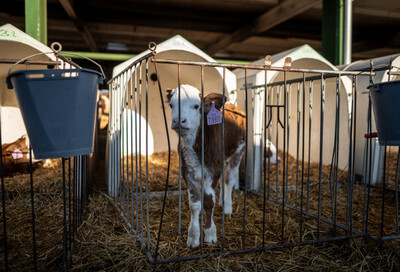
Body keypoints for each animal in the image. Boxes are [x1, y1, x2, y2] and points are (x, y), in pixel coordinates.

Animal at [167, 85, 280, 249]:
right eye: (171, 105)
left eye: (196, 106)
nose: (178, 120)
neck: (197, 145)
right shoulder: (187, 170)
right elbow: (195, 204)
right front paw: (193, 236)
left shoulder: (214, 168)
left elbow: (208, 201)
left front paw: (210, 234)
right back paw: (221, 201)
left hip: (238, 152)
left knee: (229, 178)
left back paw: (227, 207)